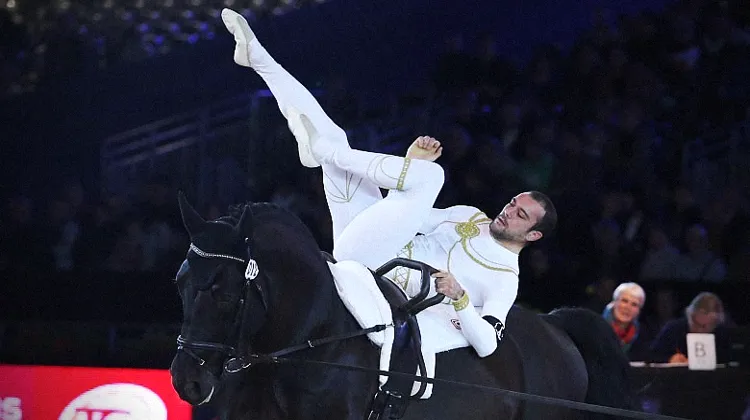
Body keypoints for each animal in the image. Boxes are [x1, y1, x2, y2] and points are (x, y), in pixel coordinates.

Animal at [169, 194, 635, 419]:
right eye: (181, 285)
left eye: (223, 292)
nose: (186, 381)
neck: (317, 340)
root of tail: (555, 326)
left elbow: (488, 328)